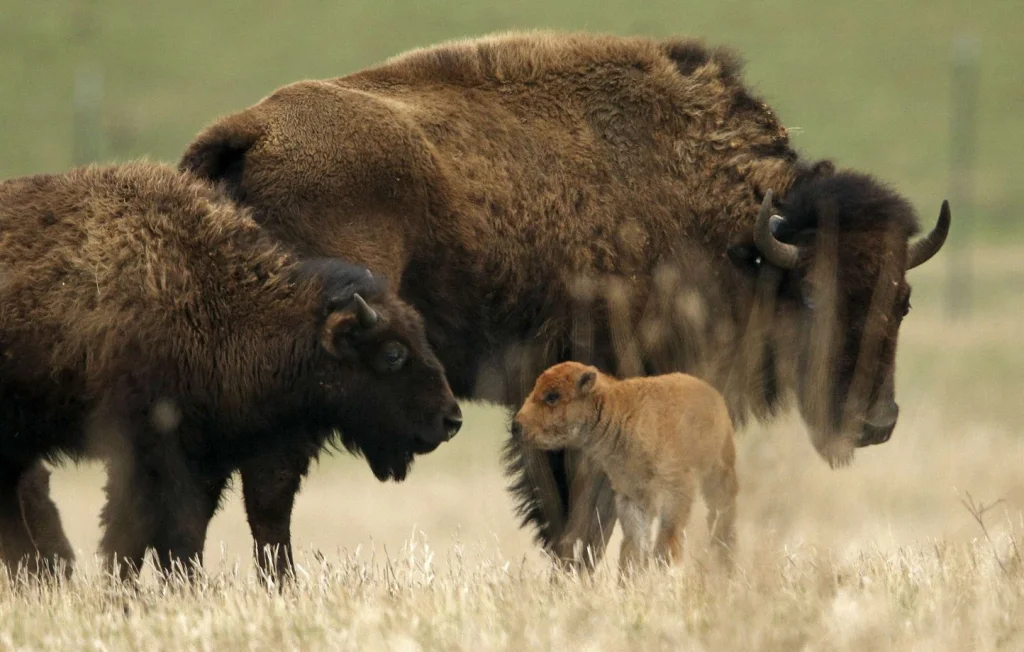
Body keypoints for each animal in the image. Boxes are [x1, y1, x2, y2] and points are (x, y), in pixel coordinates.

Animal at [0, 162, 461, 578]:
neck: (217, 298)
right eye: (393, 354)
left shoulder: (207, 460)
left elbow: (176, 538)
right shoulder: (146, 453)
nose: (451, 419)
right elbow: (137, 536)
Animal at [177, 31, 950, 569]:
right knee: (269, 488)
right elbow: (583, 516)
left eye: (903, 301)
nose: (876, 421)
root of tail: (249, 133)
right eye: (813, 297)